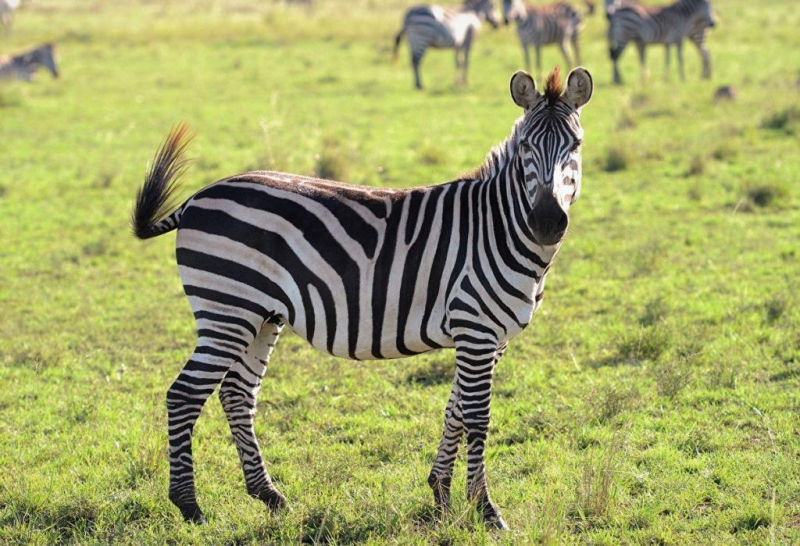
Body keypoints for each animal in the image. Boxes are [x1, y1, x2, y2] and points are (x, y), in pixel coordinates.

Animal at [131, 67, 592, 528]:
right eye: (527, 146)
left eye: (576, 145)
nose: (547, 222)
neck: (499, 226)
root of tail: (198, 197)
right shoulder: (475, 328)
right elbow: (477, 417)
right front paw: (484, 508)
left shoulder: (489, 339)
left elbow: (456, 411)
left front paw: (440, 495)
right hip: (227, 311)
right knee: (185, 394)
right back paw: (189, 505)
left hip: (260, 316)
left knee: (236, 394)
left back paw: (270, 496)